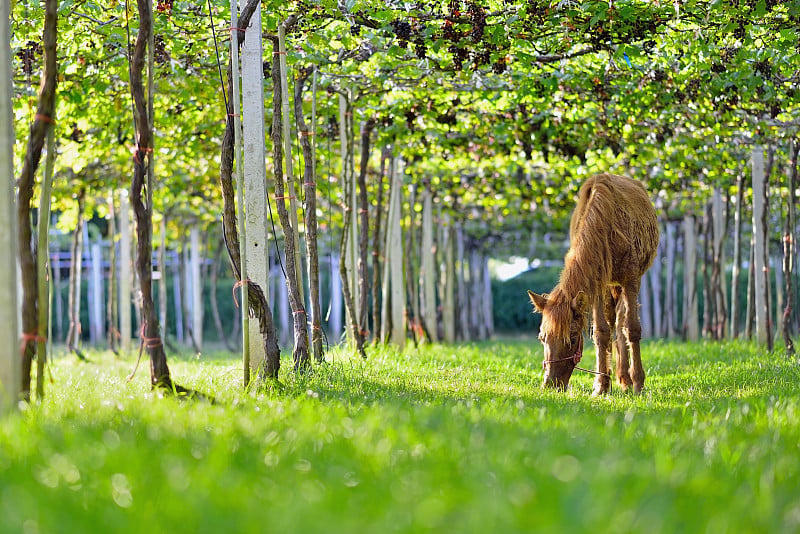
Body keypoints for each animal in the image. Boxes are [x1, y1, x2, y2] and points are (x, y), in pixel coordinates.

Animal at [524, 174, 656, 396]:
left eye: (572, 337)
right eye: (542, 338)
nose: (551, 384)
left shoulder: (631, 280)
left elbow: (632, 328)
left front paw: (638, 383)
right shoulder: (596, 284)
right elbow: (602, 333)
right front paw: (602, 385)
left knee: (621, 322)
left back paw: (627, 380)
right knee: (614, 323)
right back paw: (619, 377)